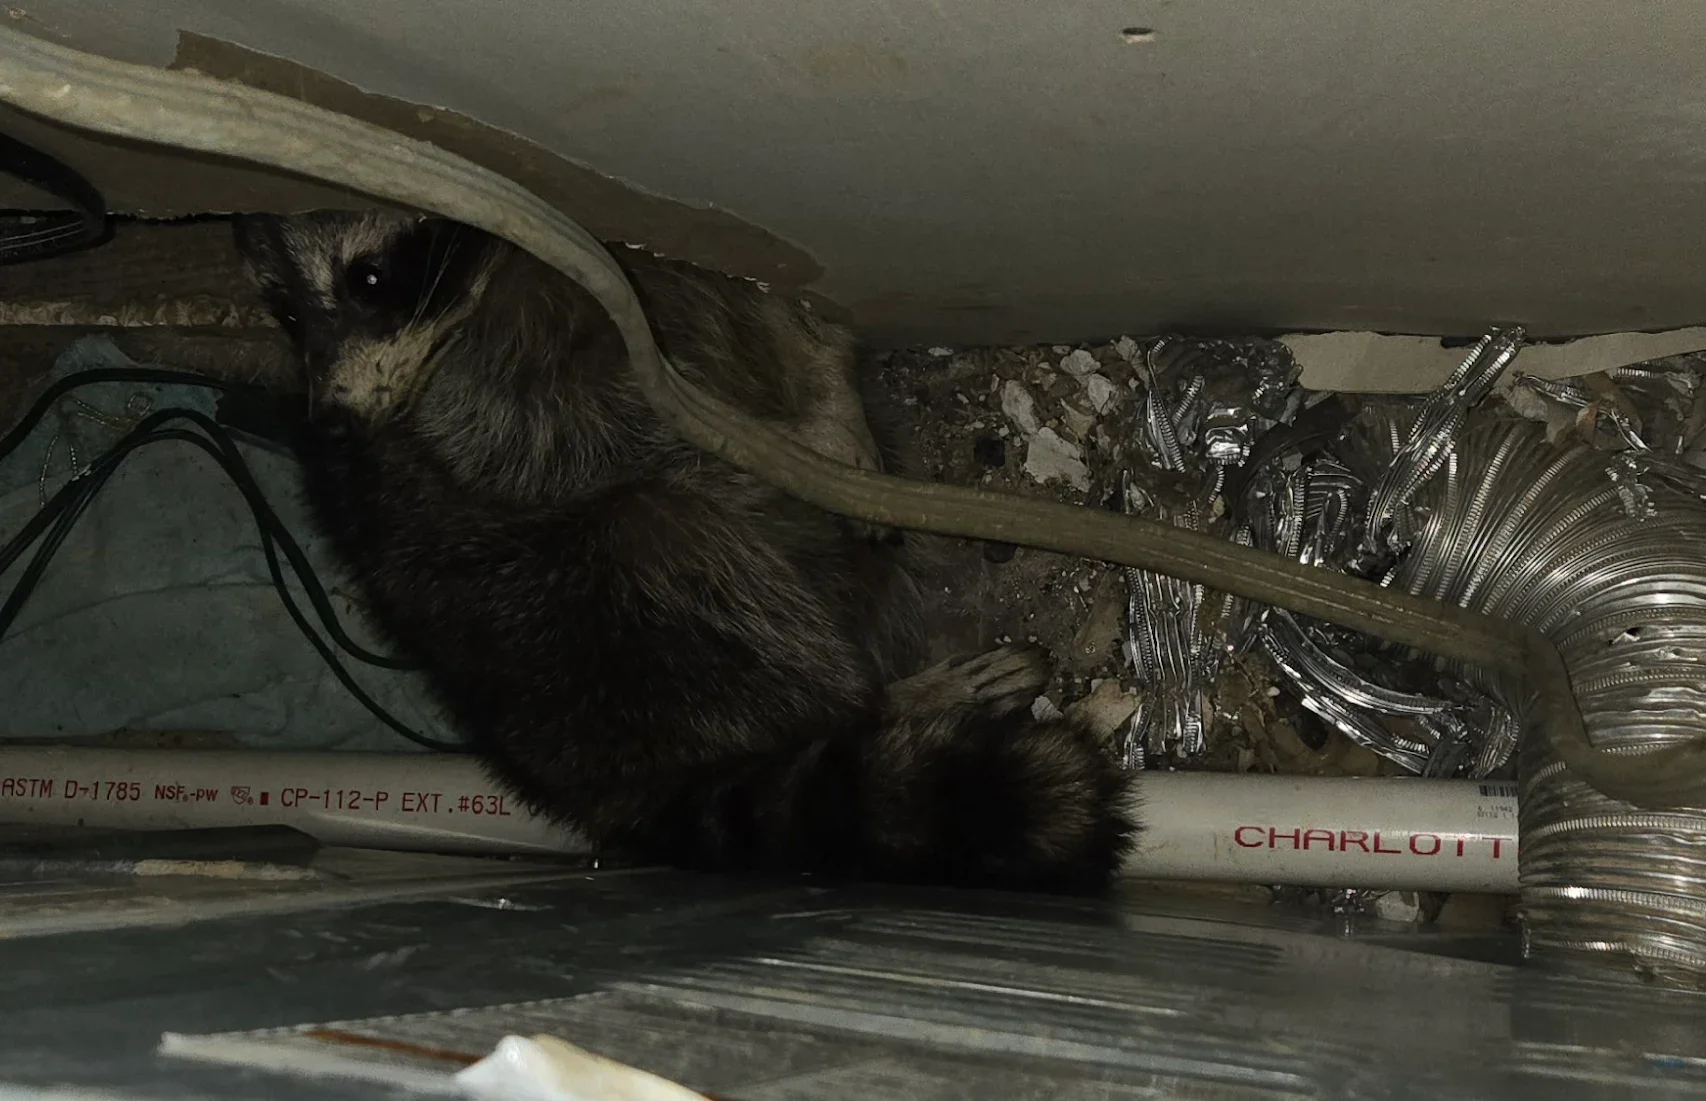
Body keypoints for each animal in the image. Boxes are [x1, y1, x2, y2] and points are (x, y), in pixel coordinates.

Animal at [234, 210, 1135, 892]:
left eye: (368, 280)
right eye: (286, 314)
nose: (333, 421)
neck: (504, 276)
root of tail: (583, 777)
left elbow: (798, 324)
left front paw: (831, 399)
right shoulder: (480, 418)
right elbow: (612, 450)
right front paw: (782, 450)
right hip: (578, 617)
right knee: (671, 530)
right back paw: (878, 700)